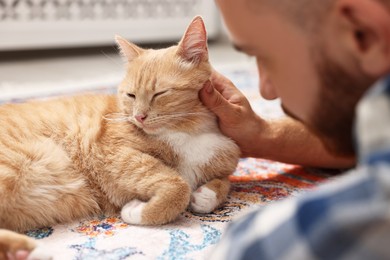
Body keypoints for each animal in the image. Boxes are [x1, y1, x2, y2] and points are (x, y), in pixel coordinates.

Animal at [0, 17, 238, 258]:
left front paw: (205, 195)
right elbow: (177, 187)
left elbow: (225, 182)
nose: (139, 116)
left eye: (160, 93)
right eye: (131, 95)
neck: (189, 131)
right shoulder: (117, 155)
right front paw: (138, 211)